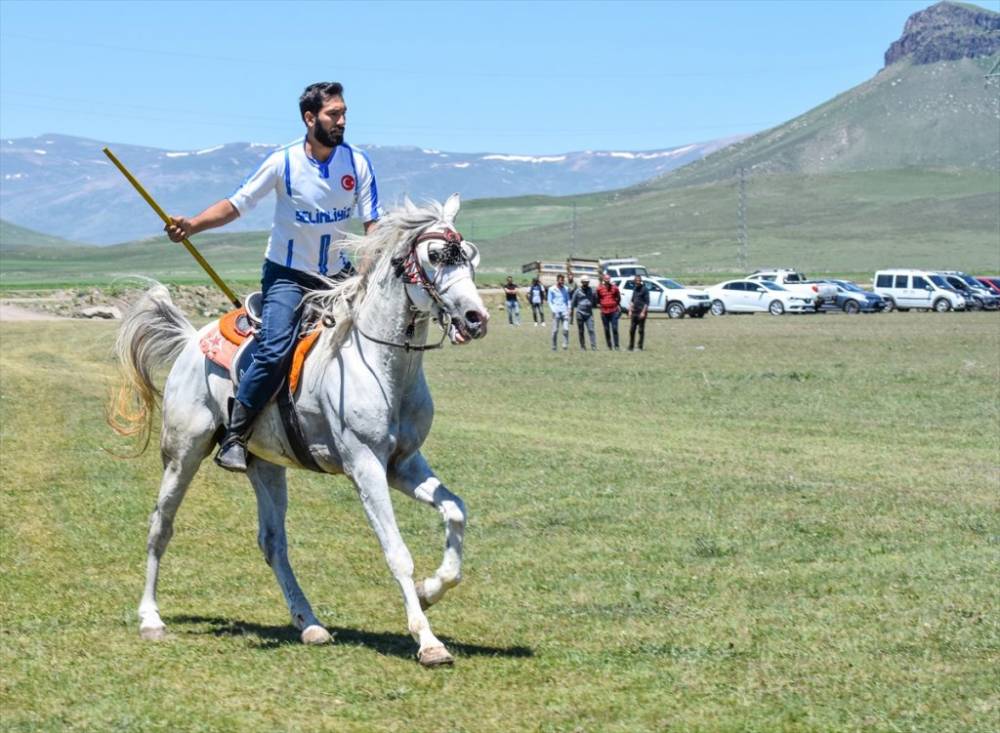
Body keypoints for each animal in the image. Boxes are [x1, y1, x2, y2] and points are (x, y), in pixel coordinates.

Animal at [112, 193, 488, 664]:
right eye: (436, 256)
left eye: (470, 255)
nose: (476, 318)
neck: (379, 362)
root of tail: (190, 341)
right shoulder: (364, 465)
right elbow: (396, 552)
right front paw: (429, 641)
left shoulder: (402, 463)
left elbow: (456, 510)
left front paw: (430, 590)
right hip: (183, 452)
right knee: (161, 524)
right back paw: (151, 619)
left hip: (265, 464)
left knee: (273, 542)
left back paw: (309, 624)